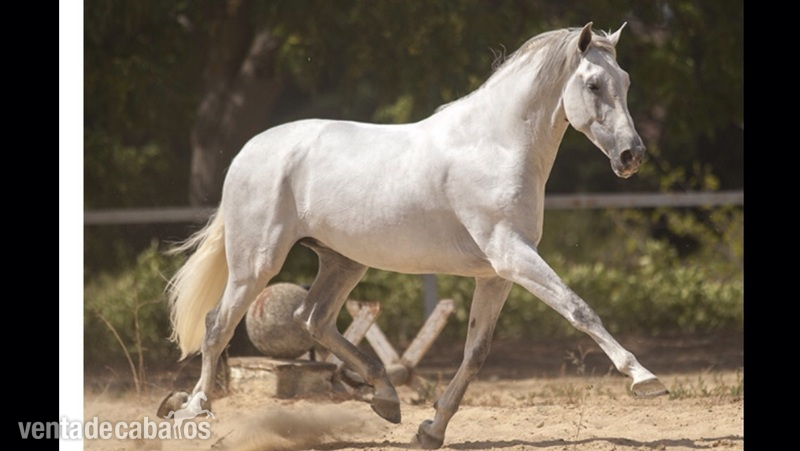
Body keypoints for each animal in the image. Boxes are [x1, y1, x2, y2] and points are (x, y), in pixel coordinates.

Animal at [163, 22, 667, 449]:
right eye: (594, 84)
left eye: (625, 81)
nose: (632, 156)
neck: (495, 146)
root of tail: (249, 150)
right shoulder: (512, 256)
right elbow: (578, 309)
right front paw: (645, 379)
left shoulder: (496, 274)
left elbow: (476, 352)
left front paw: (431, 429)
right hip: (257, 262)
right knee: (218, 324)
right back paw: (195, 409)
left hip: (343, 261)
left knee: (312, 318)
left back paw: (385, 396)